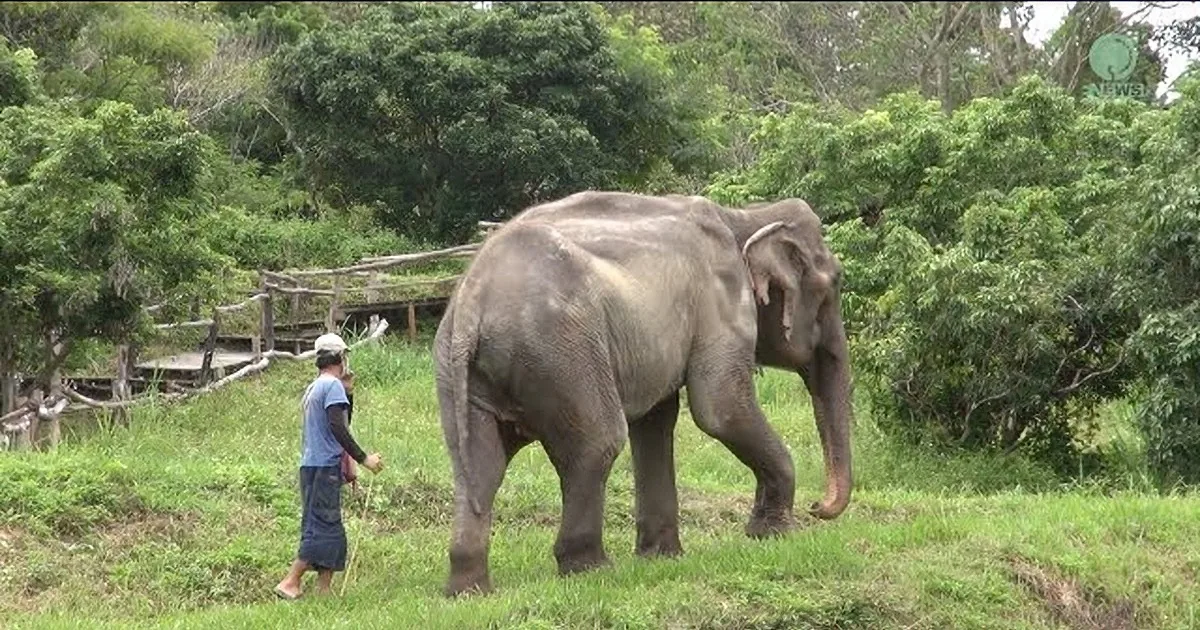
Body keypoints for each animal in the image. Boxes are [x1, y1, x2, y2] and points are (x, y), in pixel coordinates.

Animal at [433, 191, 854, 597]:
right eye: (834, 283)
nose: (818, 506)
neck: (742, 215)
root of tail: (472, 304)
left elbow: (656, 420)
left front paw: (662, 557)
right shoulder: (720, 299)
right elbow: (720, 409)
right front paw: (773, 535)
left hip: (460, 372)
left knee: (481, 467)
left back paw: (468, 590)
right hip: (561, 352)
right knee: (598, 442)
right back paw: (591, 569)